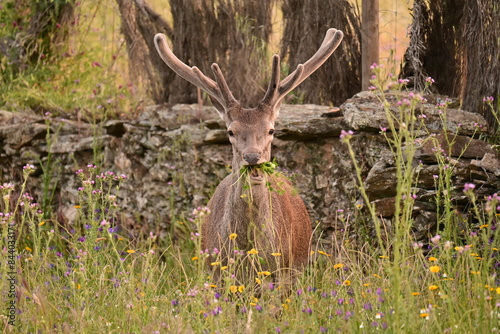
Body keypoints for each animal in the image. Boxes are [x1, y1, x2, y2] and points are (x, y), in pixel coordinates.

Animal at [154, 28, 344, 284]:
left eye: (271, 130)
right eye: (230, 131)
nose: (252, 157)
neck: (249, 250)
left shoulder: (283, 273)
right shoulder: (217, 273)